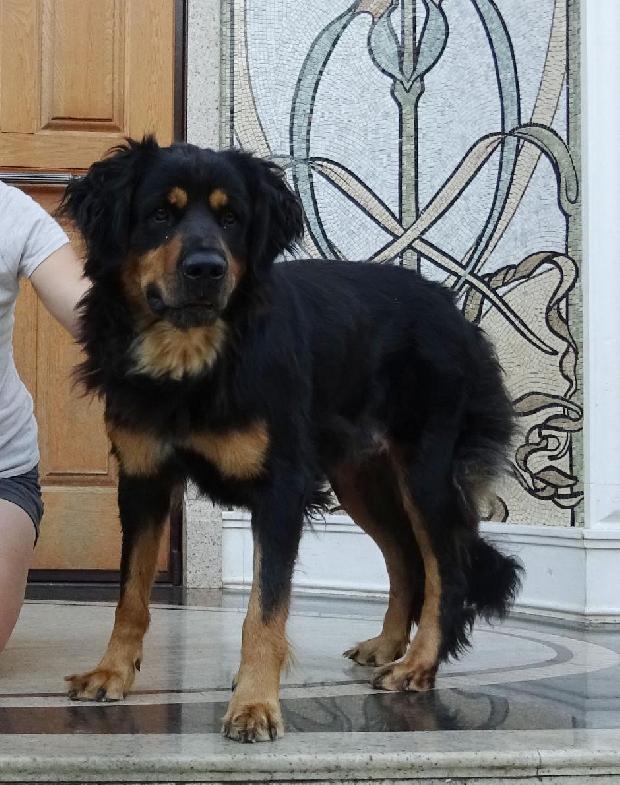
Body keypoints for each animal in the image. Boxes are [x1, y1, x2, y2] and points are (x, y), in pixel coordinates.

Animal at [59, 136, 522, 743]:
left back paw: (418, 664)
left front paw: (255, 703)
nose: (206, 269)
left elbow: (264, 610)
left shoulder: (280, 488)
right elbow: (130, 594)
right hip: (359, 478)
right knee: (404, 557)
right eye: (160, 214)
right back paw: (387, 644)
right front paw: (113, 671)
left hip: (426, 470)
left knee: (448, 568)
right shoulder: (143, 479)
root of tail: (451, 308)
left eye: (232, 218)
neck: (191, 356)